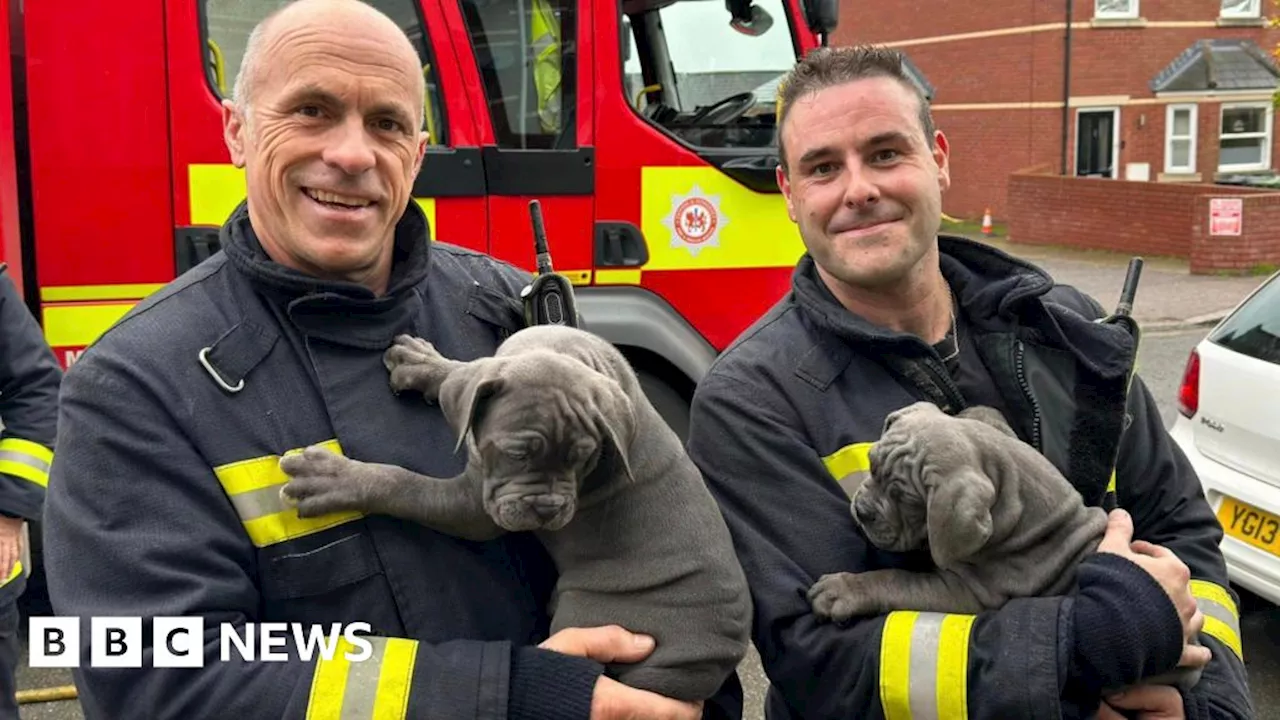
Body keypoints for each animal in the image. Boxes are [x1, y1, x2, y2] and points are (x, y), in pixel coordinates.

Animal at [277, 322, 747, 696]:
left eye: (584, 457)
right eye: (518, 454)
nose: (547, 510)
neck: (564, 350)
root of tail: (710, 661)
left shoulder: (475, 509)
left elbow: (402, 483)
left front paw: (333, 478)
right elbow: (464, 375)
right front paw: (425, 364)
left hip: (592, 615)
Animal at [808, 397, 1198, 691]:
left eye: (907, 500)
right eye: (871, 464)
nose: (862, 511)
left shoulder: (967, 594)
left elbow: (896, 581)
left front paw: (842, 590)